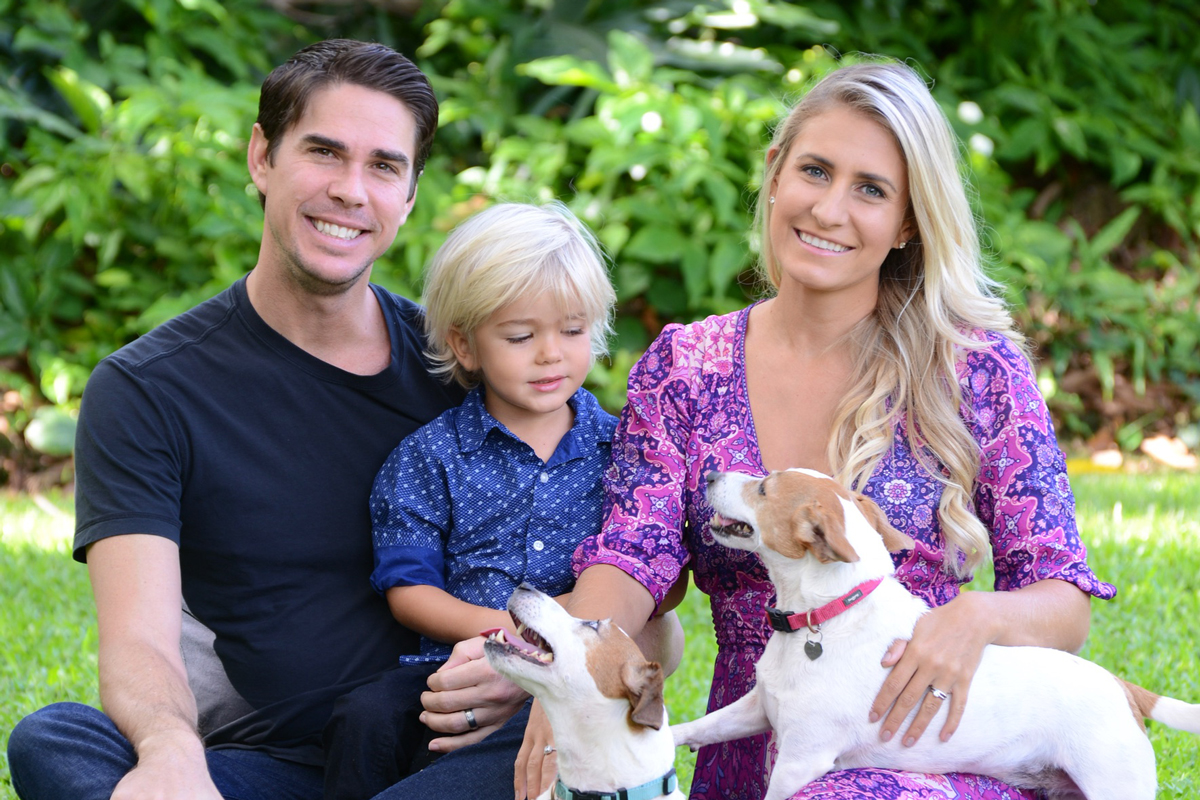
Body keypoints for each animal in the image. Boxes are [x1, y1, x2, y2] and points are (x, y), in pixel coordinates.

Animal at [672, 470, 1200, 800]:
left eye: (764, 487)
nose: (710, 476)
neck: (827, 617)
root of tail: (1123, 688)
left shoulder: (801, 761)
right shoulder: (758, 708)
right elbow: (703, 726)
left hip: (1114, 783)